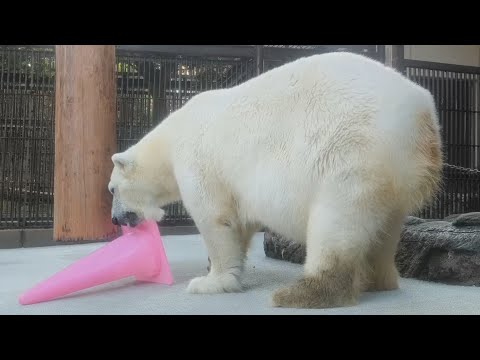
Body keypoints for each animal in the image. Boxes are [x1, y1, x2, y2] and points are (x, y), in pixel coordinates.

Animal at [108, 52, 442, 308]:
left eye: (111, 189)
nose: (115, 218)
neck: (170, 139)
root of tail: (423, 112)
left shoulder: (200, 161)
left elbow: (215, 220)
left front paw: (209, 281)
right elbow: (241, 223)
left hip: (354, 150)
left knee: (337, 218)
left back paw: (299, 294)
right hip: (394, 171)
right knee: (386, 226)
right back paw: (377, 281)